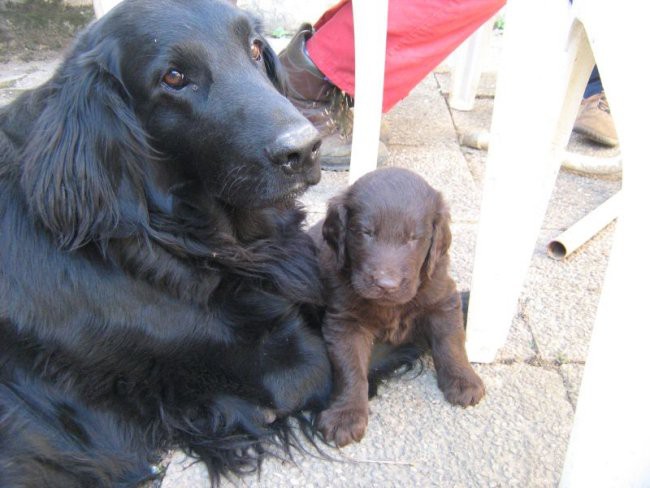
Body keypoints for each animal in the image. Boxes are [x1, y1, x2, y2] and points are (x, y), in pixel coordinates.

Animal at [312, 168, 484, 446]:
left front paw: (462, 380)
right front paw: (346, 415)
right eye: (365, 232)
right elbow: (350, 368)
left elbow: (451, 342)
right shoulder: (344, 321)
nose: (386, 285)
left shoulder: (443, 298)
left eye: (414, 238)